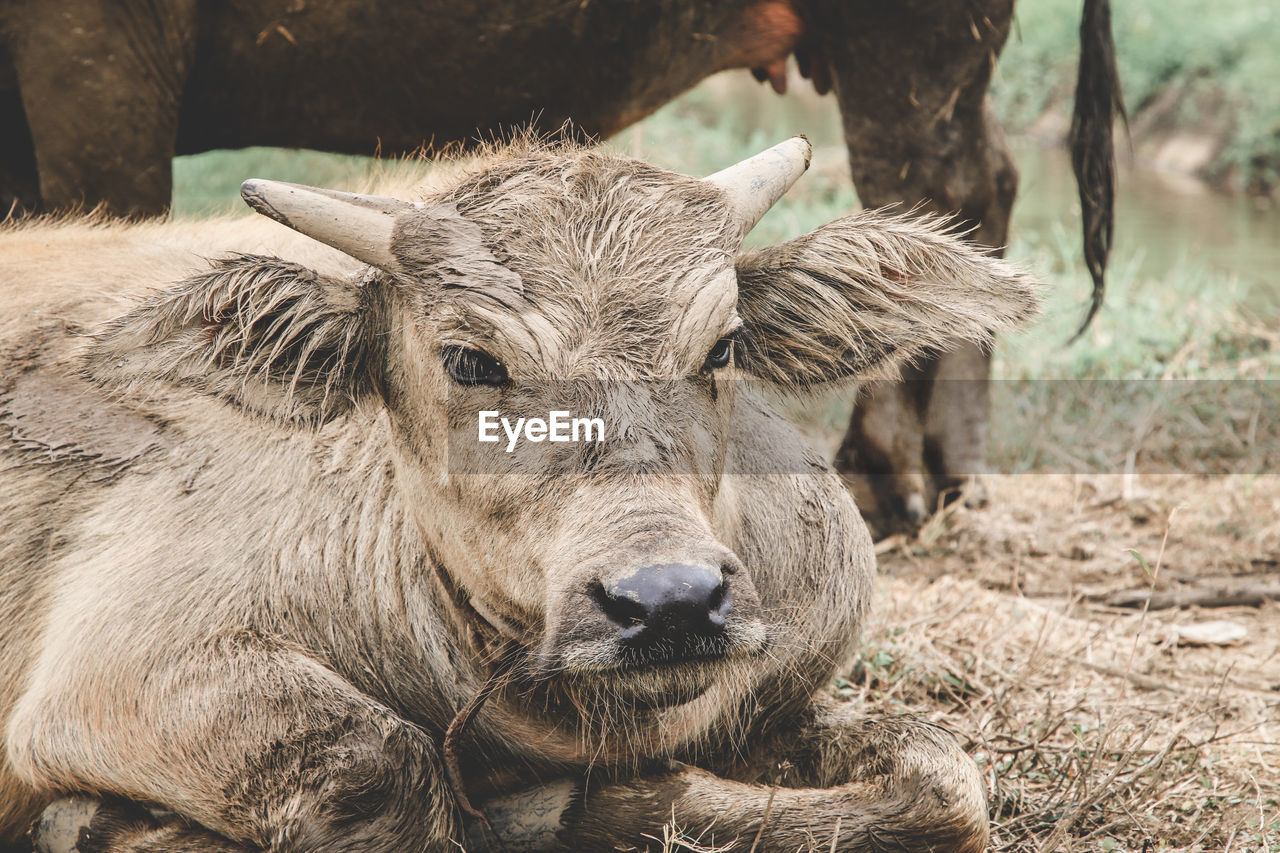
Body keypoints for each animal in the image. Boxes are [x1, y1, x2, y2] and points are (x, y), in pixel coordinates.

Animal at [0, 1, 1121, 532]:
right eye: (466, 363)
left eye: (723, 348)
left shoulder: (98, 63)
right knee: (982, 182)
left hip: (911, 38)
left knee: (936, 178)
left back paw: (892, 473)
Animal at [0, 140, 1039, 850]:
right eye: (469, 360)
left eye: (725, 345)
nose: (670, 600)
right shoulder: (120, 673)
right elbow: (377, 768)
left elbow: (940, 782)